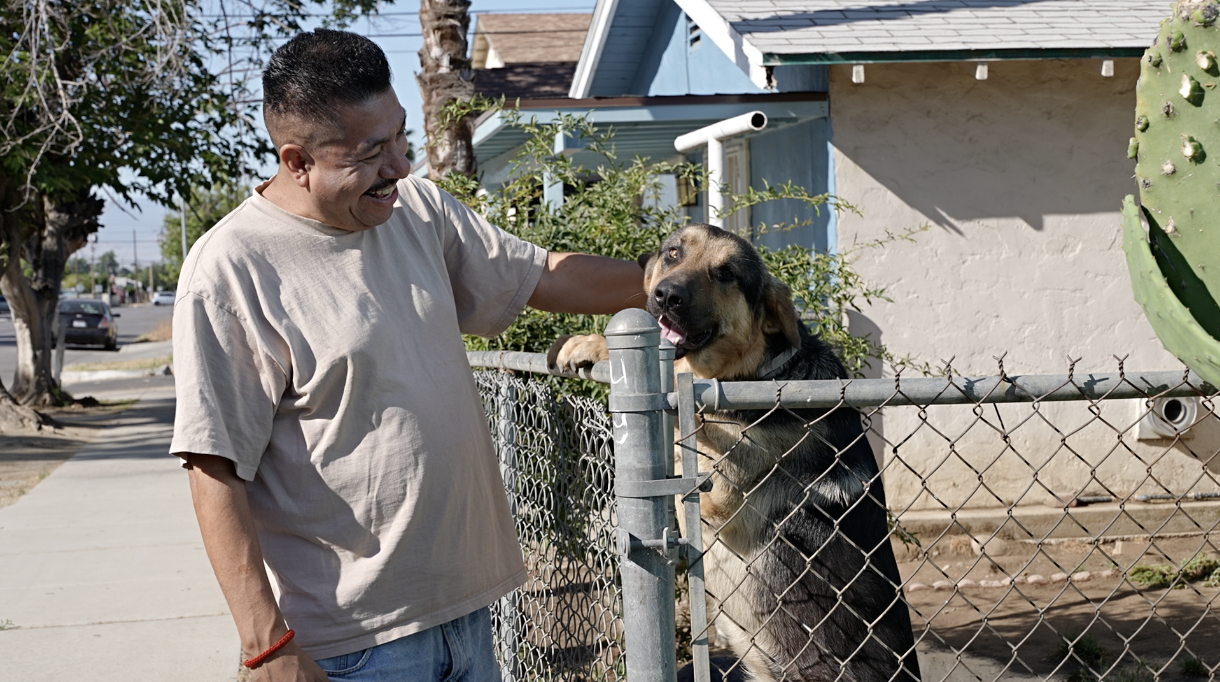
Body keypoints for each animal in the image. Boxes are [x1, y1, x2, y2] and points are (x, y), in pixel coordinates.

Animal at [549, 225, 917, 682]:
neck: (758, 370)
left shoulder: (717, 494)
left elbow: (683, 394)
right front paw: (591, 343)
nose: (666, 296)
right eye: (673, 253)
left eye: (726, 273)